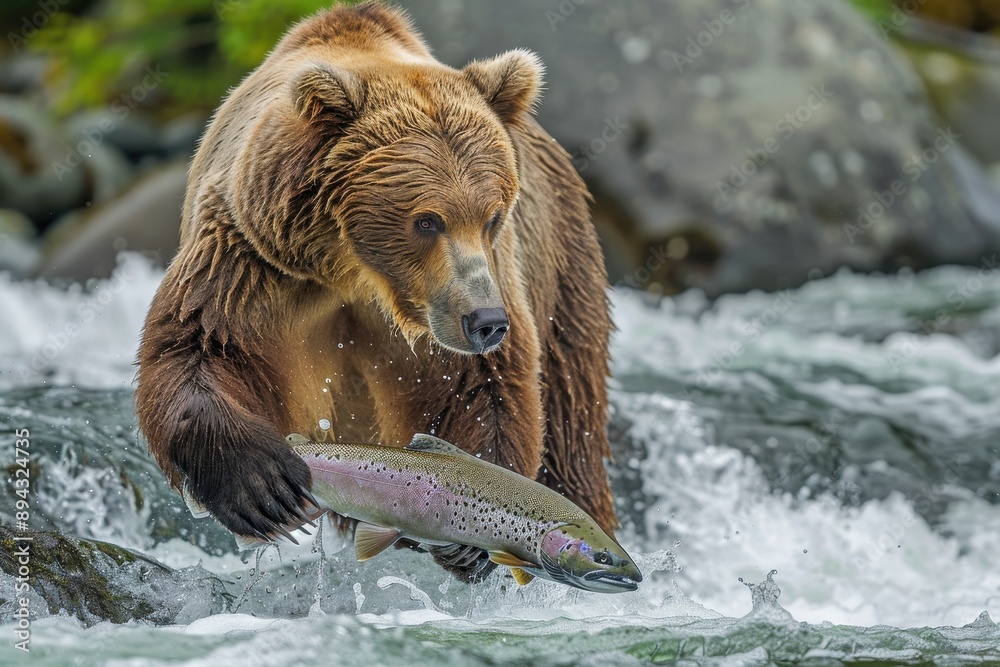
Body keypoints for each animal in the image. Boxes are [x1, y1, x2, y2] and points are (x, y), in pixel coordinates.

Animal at [135, 1, 616, 575]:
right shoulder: (253, 258)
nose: (485, 322)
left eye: (492, 216)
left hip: (563, 272)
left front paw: (472, 523)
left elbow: (481, 389)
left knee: (570, 421)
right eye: (427, 220)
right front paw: (260, 486)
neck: (355, 269)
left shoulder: (470, 296)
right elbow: (202, 345)